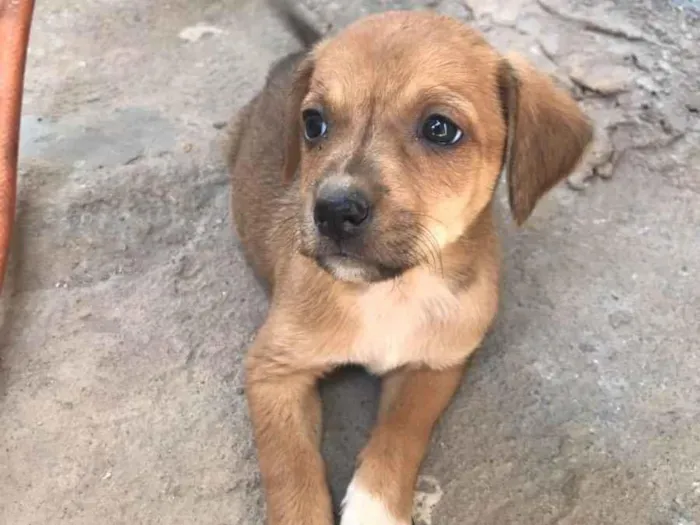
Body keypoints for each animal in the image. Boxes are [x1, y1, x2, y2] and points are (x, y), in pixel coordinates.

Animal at [227, 3, 592, 520]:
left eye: (440, 129)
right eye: (313, 123)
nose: (333, 211)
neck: (393, 291)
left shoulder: (436, 364)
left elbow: (401, 434)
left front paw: (374, 508)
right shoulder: (273, 369)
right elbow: (290, 468)